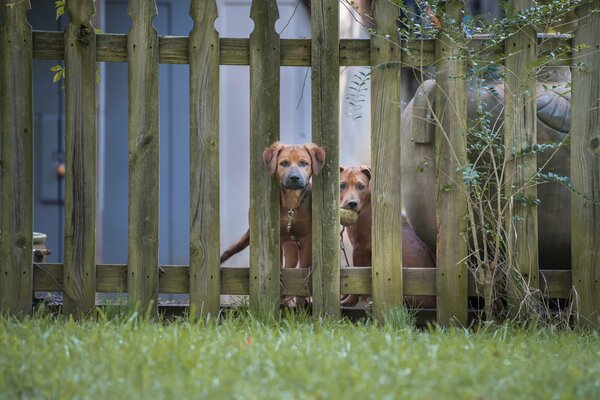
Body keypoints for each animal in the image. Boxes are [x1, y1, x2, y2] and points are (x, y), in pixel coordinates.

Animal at [220, 142, 326, 270]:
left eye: (304, 163)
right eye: (284, 163)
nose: (295, 178)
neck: (291, 203)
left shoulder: (307, 239)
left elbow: (303, 266)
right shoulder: (276, 240)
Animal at [338, 164, 436, 308]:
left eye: (361, 186)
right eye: (342, 185)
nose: (352, 203)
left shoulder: (359, 248)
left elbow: (355, 280)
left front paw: (350, 301)